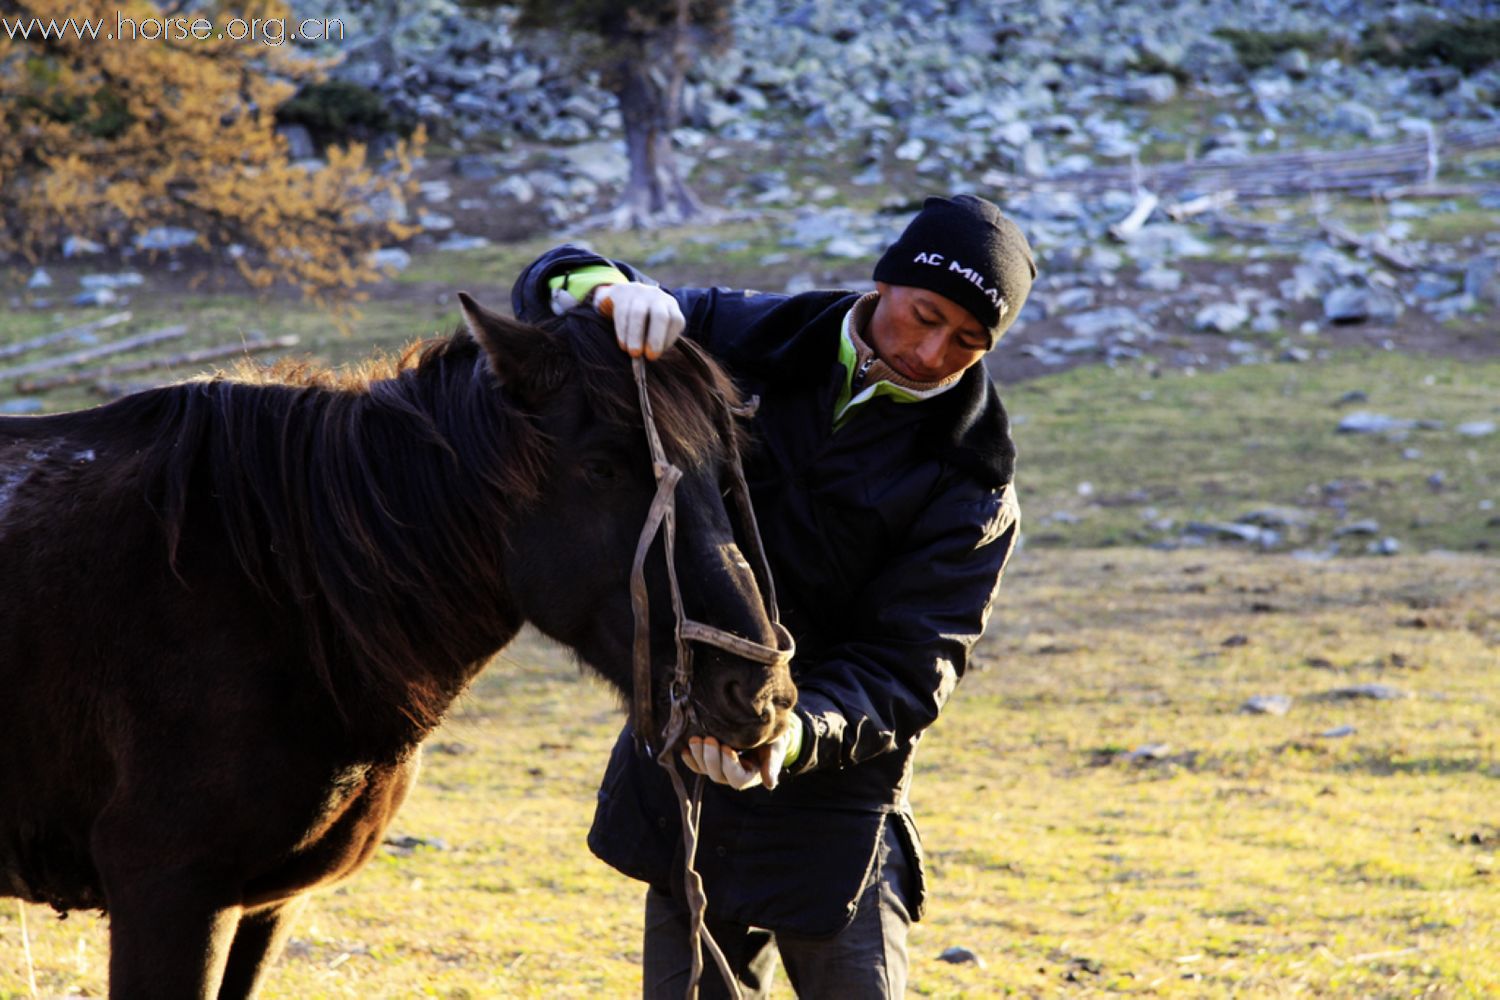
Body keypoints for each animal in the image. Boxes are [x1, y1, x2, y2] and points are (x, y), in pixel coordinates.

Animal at [0, 296, 798, 1000]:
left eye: (721, 471)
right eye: (602, 466)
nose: (758, 693)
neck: (274, 584)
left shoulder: (266, 905)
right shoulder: (168, 895)